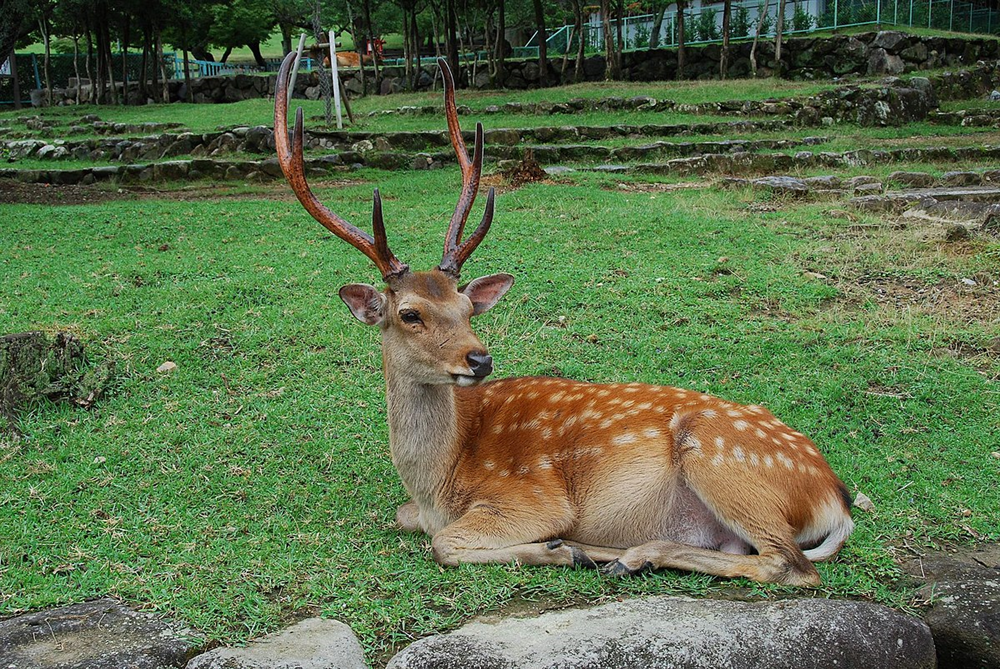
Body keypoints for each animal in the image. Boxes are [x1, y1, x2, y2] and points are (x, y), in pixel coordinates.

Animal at [276, 53, 860, 584]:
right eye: (409, 313)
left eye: (466, 307)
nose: (479, 360)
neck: (438, 483)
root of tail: (837, 499)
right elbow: (407, 521)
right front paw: (567, 549)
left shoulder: (532, 497)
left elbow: (443, 543)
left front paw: (557, 549)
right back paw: (621, 555)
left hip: (720, 461)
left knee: (791, 564)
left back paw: (610, 554)